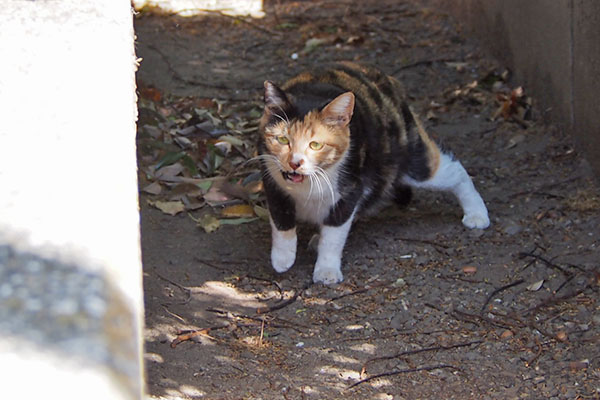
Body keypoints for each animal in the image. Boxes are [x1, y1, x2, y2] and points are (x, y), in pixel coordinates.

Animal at [256, 61, 488, 284]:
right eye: (282, 139)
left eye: (315, 144)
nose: (295, 162)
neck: (308, 184)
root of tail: (387, 79)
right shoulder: (272, 180)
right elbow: (281, 219)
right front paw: (282, 259)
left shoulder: (350, 188)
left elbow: (334, 235)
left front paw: (326, 271)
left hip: (413, 160)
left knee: (454, 171)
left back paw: (477, 214)